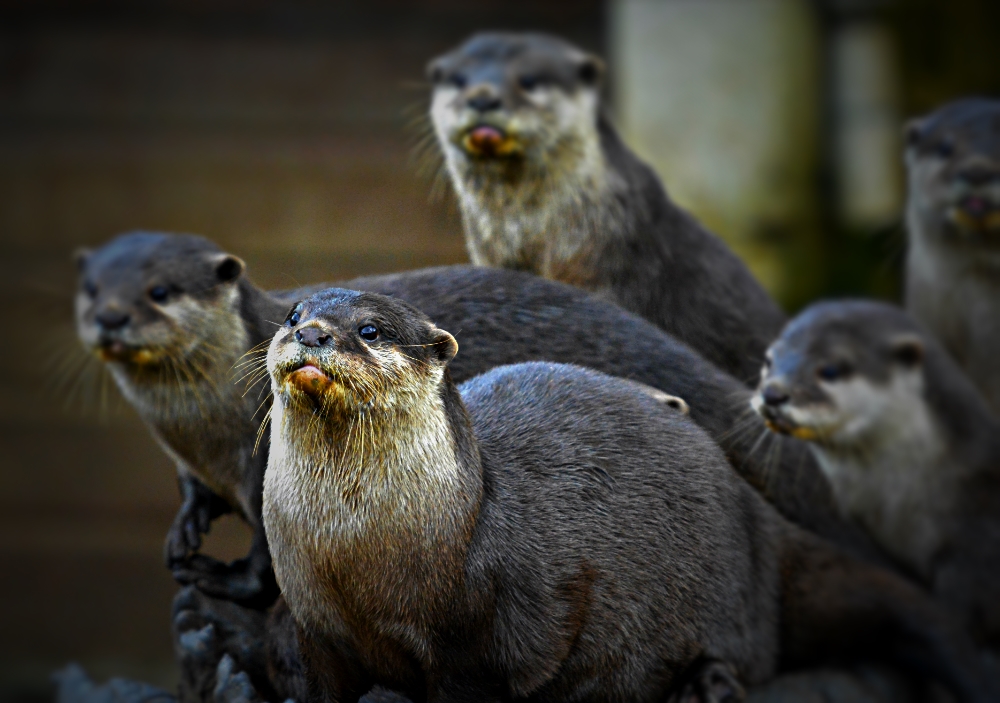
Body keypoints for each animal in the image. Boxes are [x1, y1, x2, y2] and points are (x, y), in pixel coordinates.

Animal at [75, 233, 870, 607]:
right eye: (90, 287)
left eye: (158, 290)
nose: (110, 314)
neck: (203, 428)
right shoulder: (198, 463)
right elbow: (193, 496)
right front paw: (183, 533)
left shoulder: (261, 463)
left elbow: (266, 562)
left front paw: (218, 577)